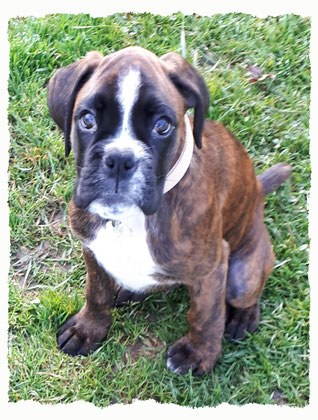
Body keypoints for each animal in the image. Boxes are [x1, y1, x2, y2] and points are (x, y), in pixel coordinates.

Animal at [46, 47, 290, 376]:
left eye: (162, 126)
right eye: (87, 119)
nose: (120, 159)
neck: (130, 221)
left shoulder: (212, 268)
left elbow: (205, 316)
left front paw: (198, 354)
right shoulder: (93, 248)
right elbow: (96, 292)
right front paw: (87, 329)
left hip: (243, 275)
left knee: (246, 295)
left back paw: (243, 318)